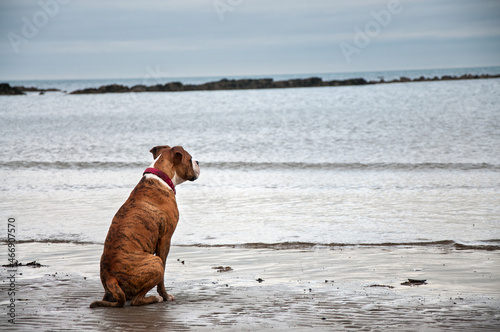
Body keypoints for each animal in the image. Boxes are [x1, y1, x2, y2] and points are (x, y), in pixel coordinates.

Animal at [90, 146, 199, 308]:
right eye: (190, 158)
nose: (198, 161)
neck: (161, 178)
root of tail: (110, 278)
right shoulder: (165, 239)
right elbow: (162, 278)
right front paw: (165, 296)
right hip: (155, 263)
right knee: (137, 300)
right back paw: (155, 298)